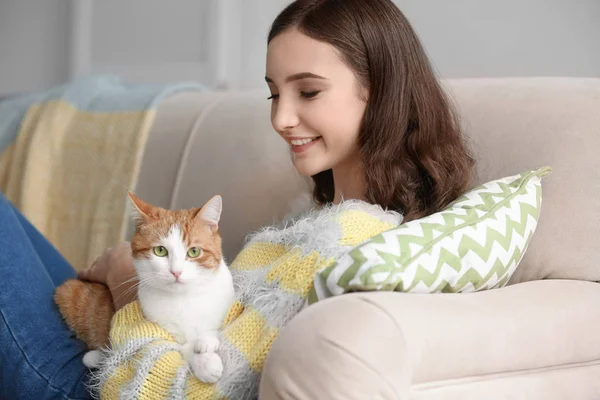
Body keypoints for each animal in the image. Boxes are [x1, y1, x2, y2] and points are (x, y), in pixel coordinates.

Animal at [55, 192, 234, 382]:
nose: (176, 272)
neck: (183, 299)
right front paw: (205, 363)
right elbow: (181, 346)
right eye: (160, 251)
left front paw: (206, 342)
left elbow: (212, 330)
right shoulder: (162, 327)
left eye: (194, 252)